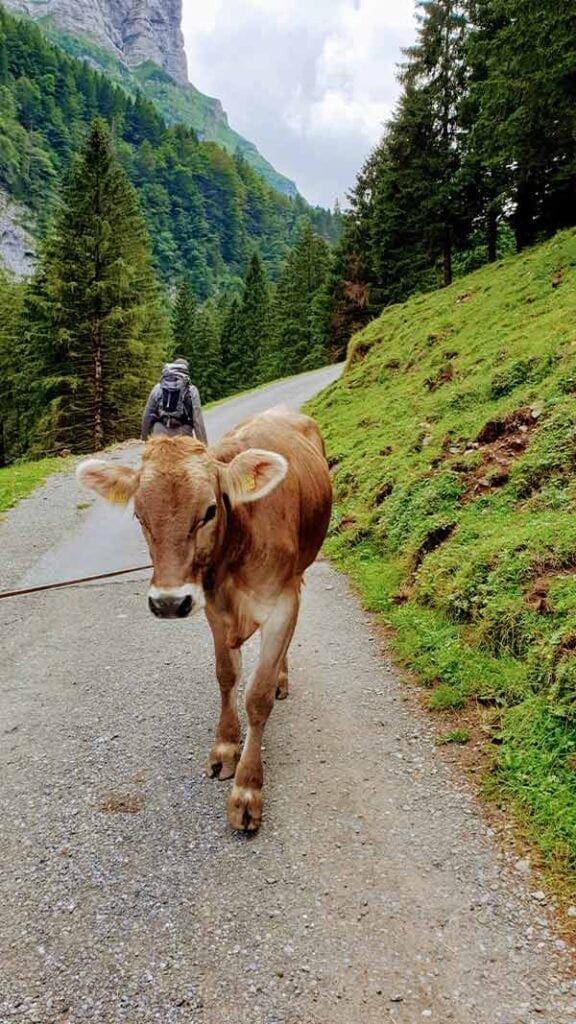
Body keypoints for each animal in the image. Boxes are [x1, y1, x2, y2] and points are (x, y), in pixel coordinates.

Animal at [78, 407, 334, 831]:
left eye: (210, 510)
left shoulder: (281, 604)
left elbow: (258, 696)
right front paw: (226, 747)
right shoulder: (211, 607)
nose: (167, 602)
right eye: (139, 516)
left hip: (300, 573)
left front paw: (247, 790)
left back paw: (282, 678)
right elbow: (226, 676)